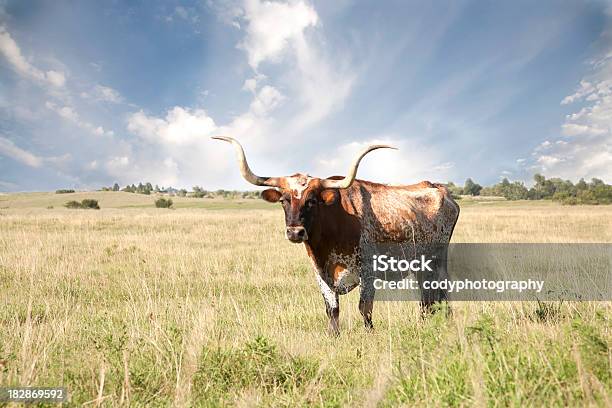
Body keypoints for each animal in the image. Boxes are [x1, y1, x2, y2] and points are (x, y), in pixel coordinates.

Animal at [215, 137, 460, 334]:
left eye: (312, 200)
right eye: (284, 200)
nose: (295, 232)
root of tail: (439, 188)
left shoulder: (367, 270)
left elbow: (365, 308)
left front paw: (369, 335)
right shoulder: (320, 272)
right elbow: (332, 308)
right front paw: (333, 336)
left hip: (438, 260)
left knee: (439, 293)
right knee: (427, 298)